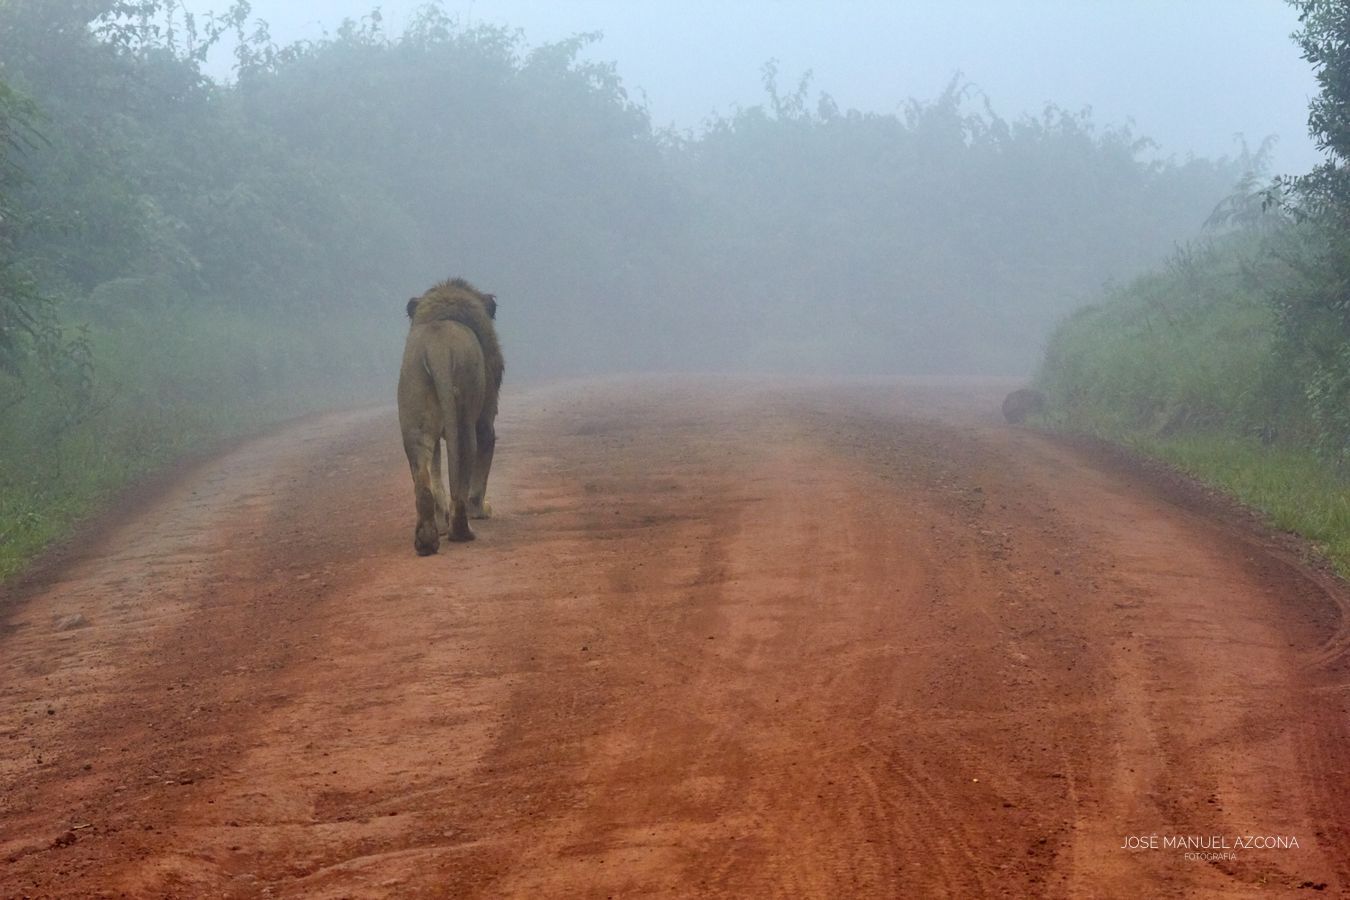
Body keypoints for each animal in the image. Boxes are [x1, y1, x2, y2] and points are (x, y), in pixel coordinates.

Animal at [399, 276, 507, 555]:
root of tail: (437, 349)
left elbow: (436, 470)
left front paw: (441, 522)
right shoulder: (485, 418)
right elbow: (482, 463)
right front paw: (481, 510)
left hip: (414, 416)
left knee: (422, 477)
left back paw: (427, 539)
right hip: (465, 419)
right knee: (463, 469)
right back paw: (462, 530)